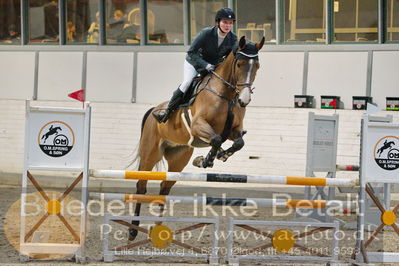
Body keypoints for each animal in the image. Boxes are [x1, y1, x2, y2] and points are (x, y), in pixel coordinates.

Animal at [129, 36, 266, 240]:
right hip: (149, 154)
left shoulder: (233, 130)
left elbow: (238, 142)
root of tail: (154, 110)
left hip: (179, 159)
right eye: (239, 64)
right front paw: (206, 160)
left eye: (257, 65)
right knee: (141, 186)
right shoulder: (198, 125)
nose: (244, 99)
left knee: (164, 187)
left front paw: (218, 156)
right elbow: (216, 139)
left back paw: (158, 229)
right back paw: (132, 230)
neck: (226, 95)